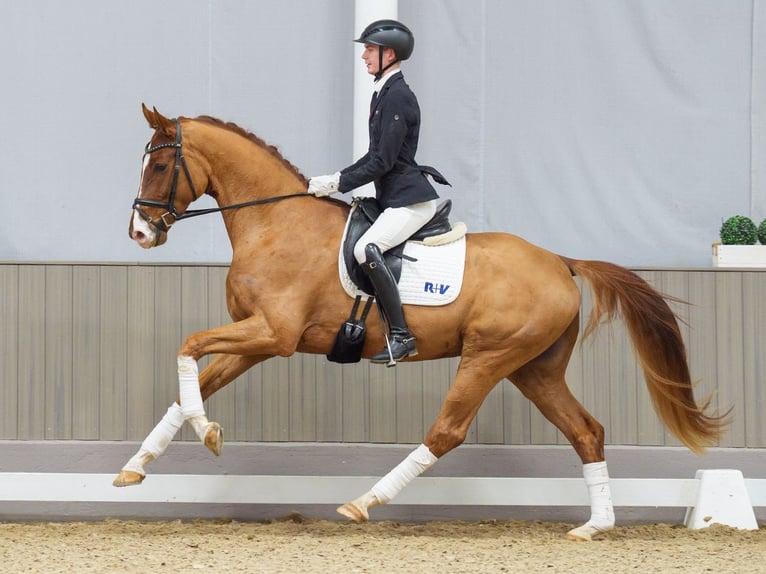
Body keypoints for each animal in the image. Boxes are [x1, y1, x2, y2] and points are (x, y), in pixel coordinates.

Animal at [115, 106, 732, 544]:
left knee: (447, 431)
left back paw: (364, 502)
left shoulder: (275, 334)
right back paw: (594, 525)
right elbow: (189, 383)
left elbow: (187, 347)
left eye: (161, 165)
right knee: (586, 431)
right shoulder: (256, 338)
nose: (140, 234)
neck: (275, 220)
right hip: (535, 368)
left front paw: (207, 434)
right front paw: (135, 468)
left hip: (488, 357)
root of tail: (560, 261)